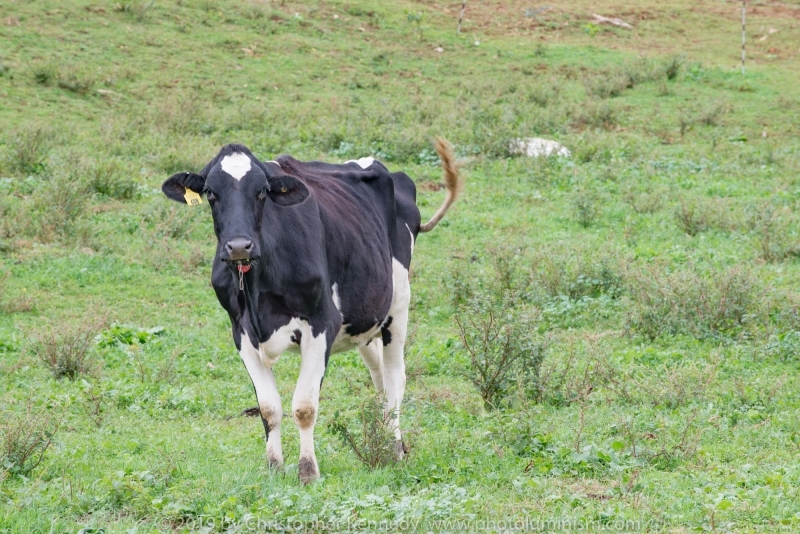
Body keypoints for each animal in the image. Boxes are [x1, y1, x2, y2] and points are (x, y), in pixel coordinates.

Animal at [161, 138, 462, 486]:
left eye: (262, 191)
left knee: (395, 379)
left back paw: (394, 449)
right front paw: (274, 468)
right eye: (210, 192)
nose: (238, 246)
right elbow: (268, 408)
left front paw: (307, 471)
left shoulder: (321, 325)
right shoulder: (241, 332)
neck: (259, 290)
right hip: (364, 319)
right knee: (379, 378)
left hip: (398, 304)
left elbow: (304, 407)